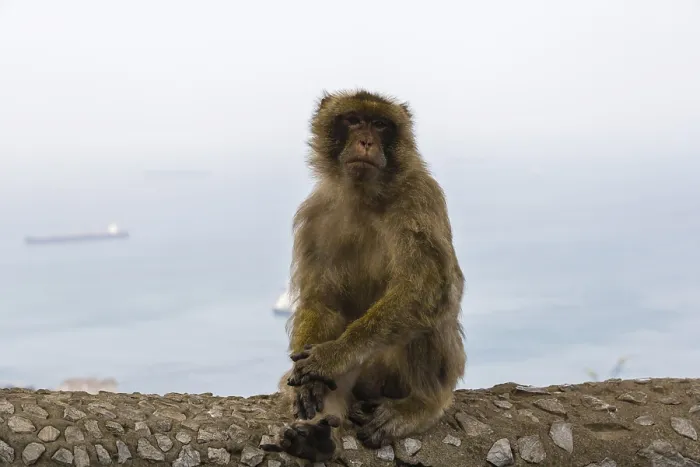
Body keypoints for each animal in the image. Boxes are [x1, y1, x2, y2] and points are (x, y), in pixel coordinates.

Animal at [261, 89, 466, 462]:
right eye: (354, 120)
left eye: (381, 124)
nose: (367, 141)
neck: (365, 195)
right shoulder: (315, 214)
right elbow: (322, 302)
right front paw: (311, 385)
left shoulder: (420, 196)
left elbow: (431, 287)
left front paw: (333, 356)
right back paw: (316, 436)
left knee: (426, 308)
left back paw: (421, 405)